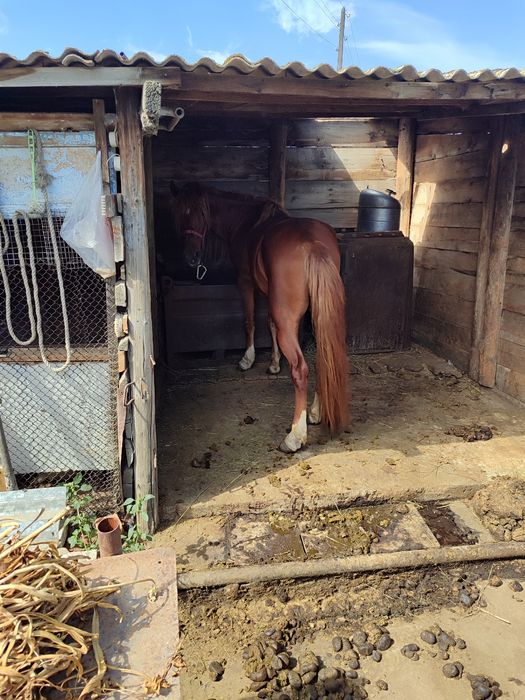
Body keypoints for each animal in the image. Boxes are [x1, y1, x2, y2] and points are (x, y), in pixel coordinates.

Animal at [170, 182, 348, 453]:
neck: (246, 222)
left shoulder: (245, 282)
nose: (192, 257)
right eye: (180, 213)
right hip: (318, 315)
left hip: (289, 319)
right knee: (323, 357)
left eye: (201, 212)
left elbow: (251, 320)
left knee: (300, 369)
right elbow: (270, 324)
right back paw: (316, 413)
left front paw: (248, 359)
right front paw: (274, 364)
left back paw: (294, 437)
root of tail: (312, 245)